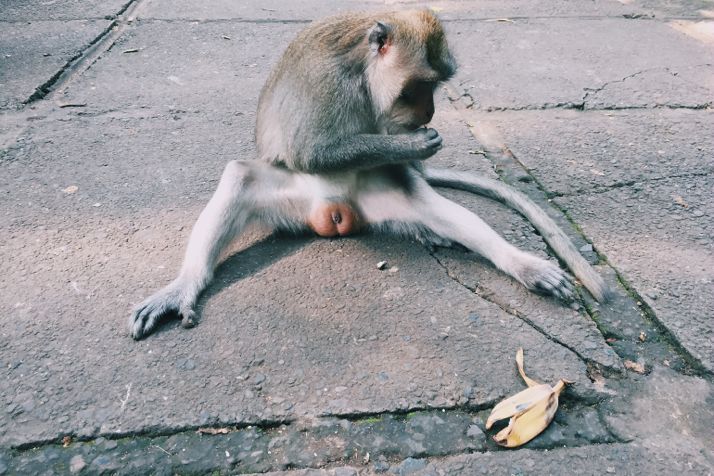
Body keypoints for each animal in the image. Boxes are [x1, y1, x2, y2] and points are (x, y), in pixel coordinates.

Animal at [129, 10, 609, 339]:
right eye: (419, 88)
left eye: (436, 87)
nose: (429, 114)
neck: (362, 69)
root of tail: (335, 214)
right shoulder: (327, 81)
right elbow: (310, 153)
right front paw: (412, 145)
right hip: (291, 201)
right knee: (240, 177)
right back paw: (185, 284)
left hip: (376, 199)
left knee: (425, 201)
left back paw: (512, 261)